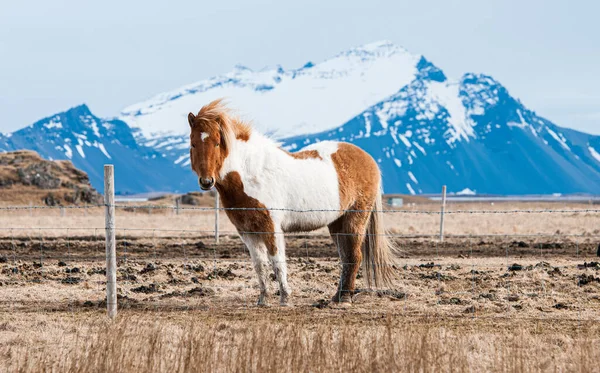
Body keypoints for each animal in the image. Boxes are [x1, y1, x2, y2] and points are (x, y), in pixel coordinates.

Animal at [185, 99, 396, 306]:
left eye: (217, 143)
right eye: (193, 144)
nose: (206, 182)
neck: (251, 174)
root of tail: (368, 159)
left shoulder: (271, 228)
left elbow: (277, 261)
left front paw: (285, 298)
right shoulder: (247, 232)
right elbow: (259, 265)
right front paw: (263, 300)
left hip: (355, 219)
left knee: (354, 256)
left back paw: (344, 299)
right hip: (337, 223)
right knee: (345, 257)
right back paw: (336, 297)